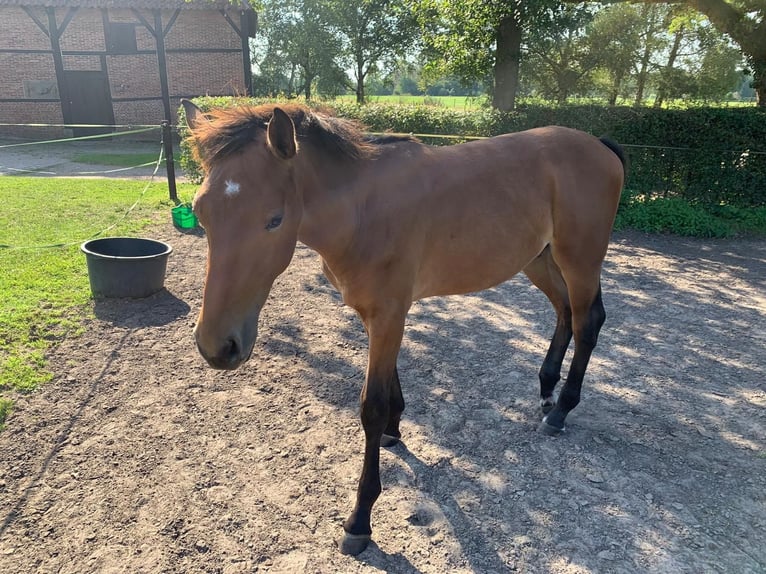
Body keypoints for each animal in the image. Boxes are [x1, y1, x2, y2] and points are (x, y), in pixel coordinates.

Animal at [183, 100, 628, 560]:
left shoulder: (389, 314)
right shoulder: (376, 315)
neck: (363, 210)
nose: (217, 346)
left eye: (274, 220)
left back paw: (560, 410)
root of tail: (598, 145)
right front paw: (394, 432)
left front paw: (360, 521)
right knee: (564, 313)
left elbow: (371, 406)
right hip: (540, 259)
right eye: (200, 213)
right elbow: (389, 387)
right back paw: (546, 390)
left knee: (588, 321)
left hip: (579, 260)